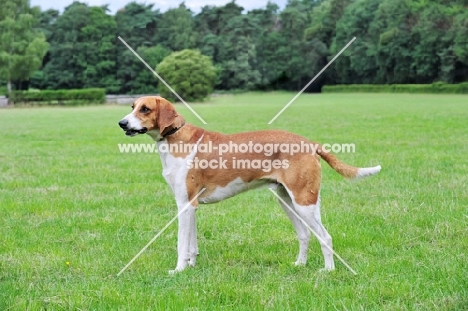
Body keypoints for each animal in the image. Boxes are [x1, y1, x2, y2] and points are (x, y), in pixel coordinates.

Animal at [118, 95, 380, 272]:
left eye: (145, 109)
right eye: (132, 107)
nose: (122, 123)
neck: (175, 138)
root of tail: (308, 142)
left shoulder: (185, 204)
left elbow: (182, 245)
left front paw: (179, 270)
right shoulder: (190, 206)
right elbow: (192, 244)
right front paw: (191, 266)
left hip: (305, 202)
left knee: (325, 237)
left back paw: (328, 270)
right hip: (287, 202)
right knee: (305, 234)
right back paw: (299, 264)